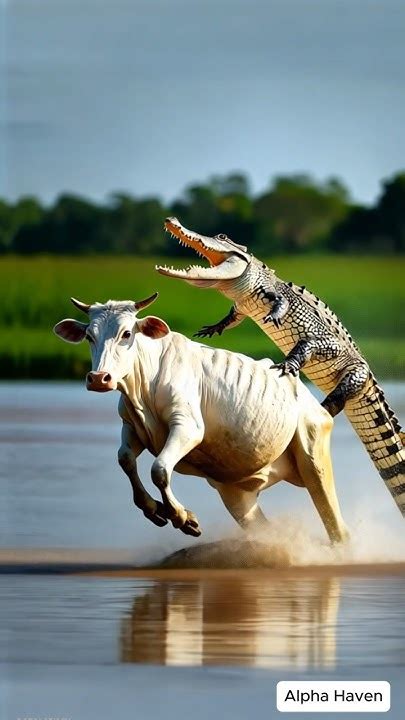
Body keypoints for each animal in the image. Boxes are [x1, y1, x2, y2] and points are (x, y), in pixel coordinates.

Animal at [53, 293, 348, 543]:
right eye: (89, 336)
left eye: (126, 333)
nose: (99, 379)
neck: (143, 386)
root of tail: (311, 399)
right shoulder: (131, 427)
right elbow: (125, 459)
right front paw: (155, 509)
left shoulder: (188, 427)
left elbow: (159, 469)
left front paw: (183, 518)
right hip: (235, 491)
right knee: (266, 530)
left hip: (313, 454)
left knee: (337, 526)